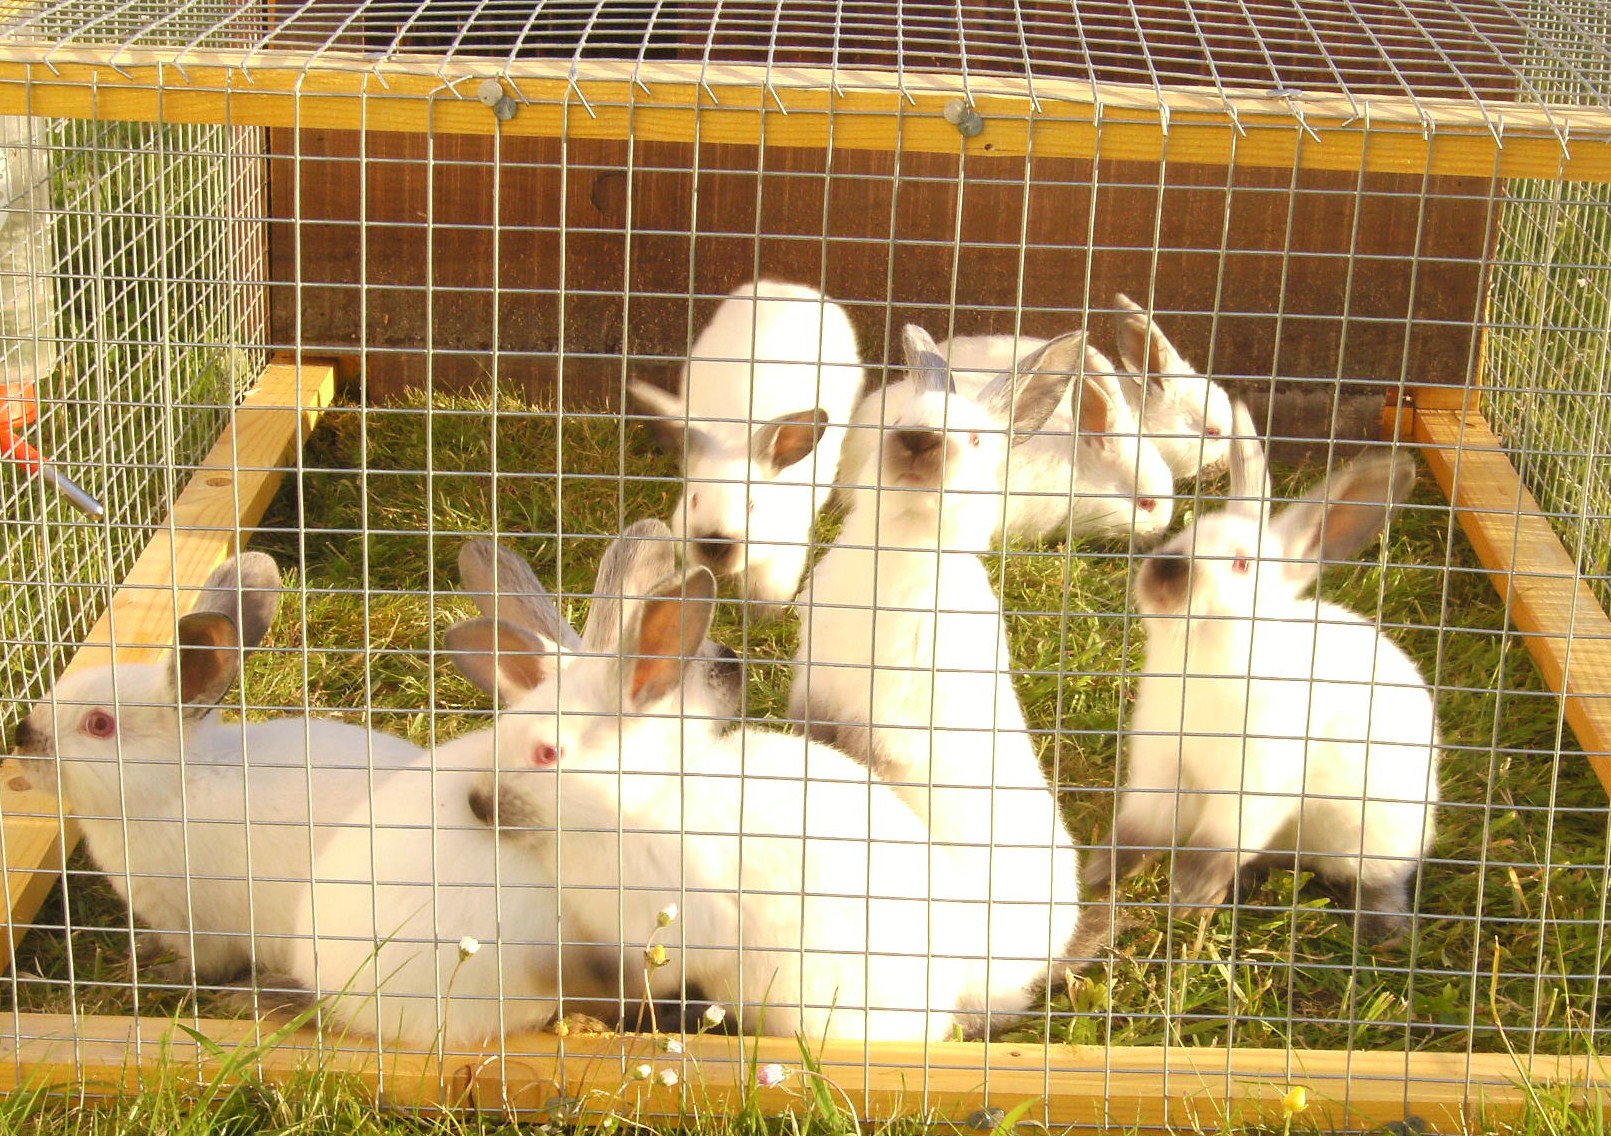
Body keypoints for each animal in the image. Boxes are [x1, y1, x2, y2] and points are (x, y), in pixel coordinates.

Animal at [10, 553, 426, 983]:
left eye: (99, 725)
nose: (21, 734)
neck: (177, 785)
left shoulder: (196, 922)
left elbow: (205, 963)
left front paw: (166, 972)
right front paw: (143, 947)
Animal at [627, 280, 865, 620]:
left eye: (752, 506)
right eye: (694, 500)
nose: (715, 543)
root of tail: (786, 286)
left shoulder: (780, 560)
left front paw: (762, 621)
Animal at [791, 324, 1087, 1019]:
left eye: (976, 439)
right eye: (900, 418)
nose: (919, 442)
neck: (904, 543)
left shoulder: (890, 722)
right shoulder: (812, 688)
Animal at [1084, 403, 1440, 939]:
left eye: (1241, 564)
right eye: (1185, 534)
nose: (1166, 570)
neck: (1204, 661)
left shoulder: (1255, 782)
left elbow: (1216, 843)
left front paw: (1188, 897)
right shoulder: (1161, 769)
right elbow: (1139, 832)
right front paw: (1098, 873)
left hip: (1381, 839)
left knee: (1382, 883)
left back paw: (1386, 934)